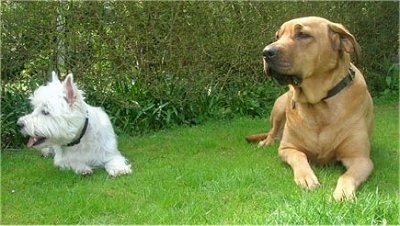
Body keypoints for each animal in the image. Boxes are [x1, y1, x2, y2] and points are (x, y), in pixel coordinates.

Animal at [247, 16, 376, 200]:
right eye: (278, 36)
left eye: (302, 34)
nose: (266, 52)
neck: (318, 104)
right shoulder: (288, 148)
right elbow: (300, 156)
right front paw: (306, 177)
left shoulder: (361, 159)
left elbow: (347, 175)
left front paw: (343, 192)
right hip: (279, 107)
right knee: (272, 131)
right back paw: (267, 141)